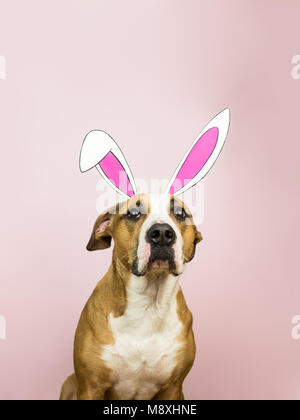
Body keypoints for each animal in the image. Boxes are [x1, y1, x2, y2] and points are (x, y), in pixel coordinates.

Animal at [59, 106, 230, 398]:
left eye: (180, 213)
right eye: (133, 213)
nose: (161, 233)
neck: (148, 304)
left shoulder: (173, 388)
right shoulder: (90, 385)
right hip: (70, 383)